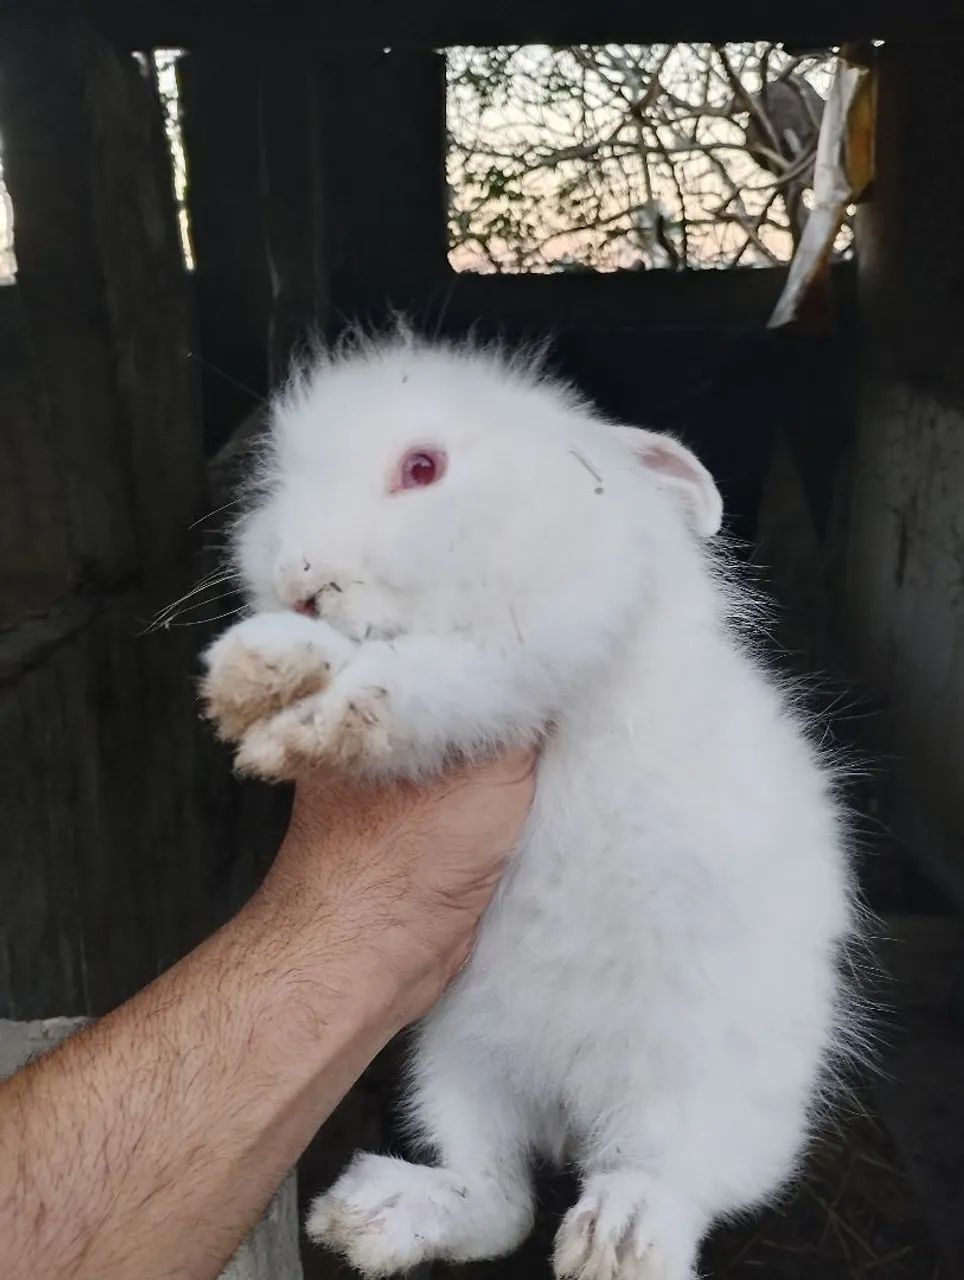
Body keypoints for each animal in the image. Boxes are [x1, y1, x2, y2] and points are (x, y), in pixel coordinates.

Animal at [200, 331, 859, 1280]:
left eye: (423, 466)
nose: (297, 577)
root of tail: (566, 1098)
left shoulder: (534, 650)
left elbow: (429, 678)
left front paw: (284, 688)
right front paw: (261, 675)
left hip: (705, 1087)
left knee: (673, 1183)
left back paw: (618, 1238)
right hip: (453, 1066)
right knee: (499, 1201)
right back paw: (373, 1216)